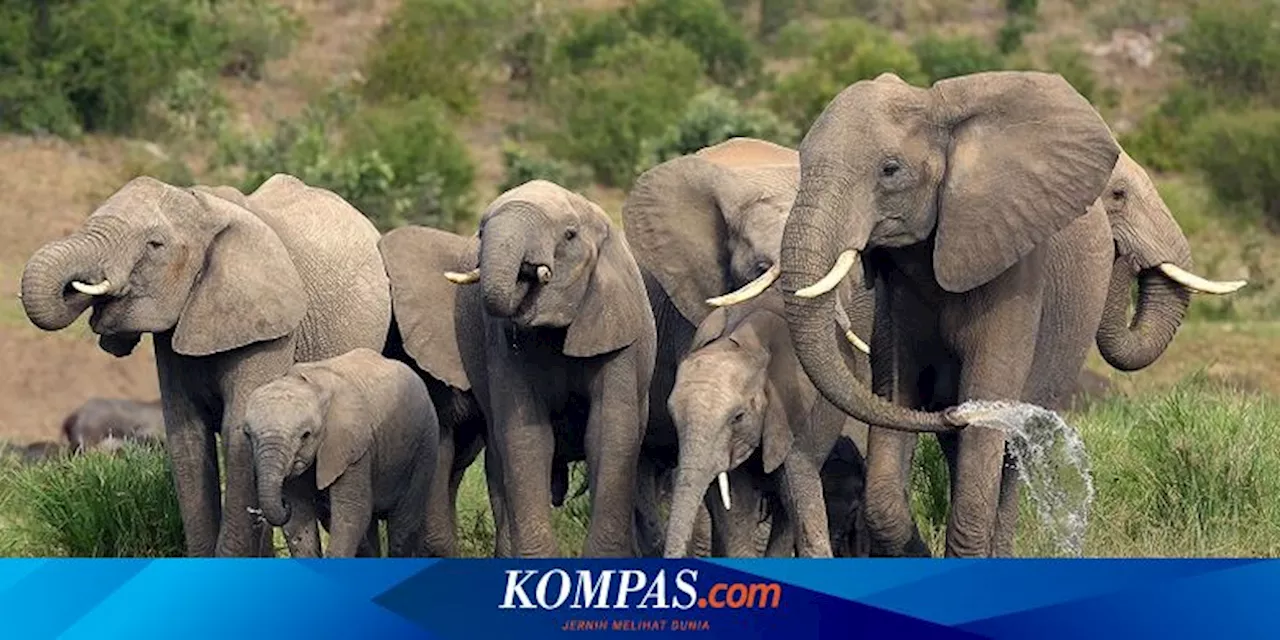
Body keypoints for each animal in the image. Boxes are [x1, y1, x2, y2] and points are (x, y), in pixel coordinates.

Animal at [241, 348, 442, 558]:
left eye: (306, 435)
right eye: (248, 434)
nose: (283, 502)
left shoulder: (352, 445)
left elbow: (351, 512)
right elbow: (299, 517)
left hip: (425, 445)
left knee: (403, 524)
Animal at [442, 180, 660, 555]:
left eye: (569, 235)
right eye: (482, 231)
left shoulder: (617, 330)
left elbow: (609, 431)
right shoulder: (504, 345)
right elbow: (526, 435)